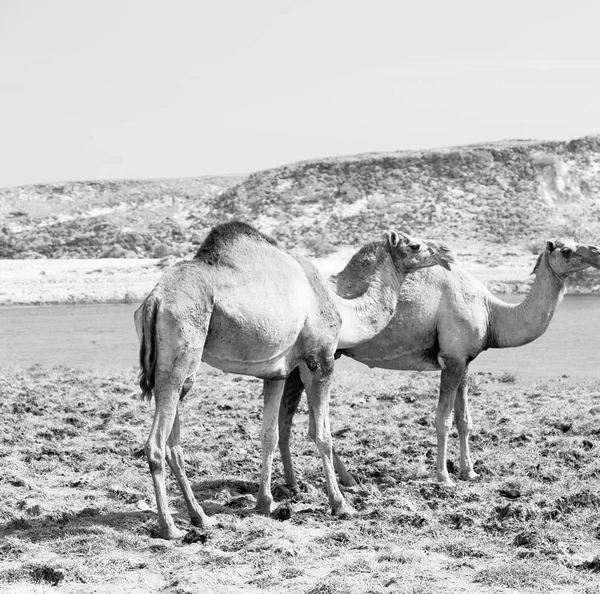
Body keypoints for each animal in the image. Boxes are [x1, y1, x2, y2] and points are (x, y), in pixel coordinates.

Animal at [134, 219, 452, 536]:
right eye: (415, 245)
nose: (447, 252)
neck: (341, 309)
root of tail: (154, 300)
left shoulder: (276, 373)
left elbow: (269, 435)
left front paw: (265, 503)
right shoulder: (319, 360)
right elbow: (322, 435)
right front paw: (341, 504)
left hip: (178, 370)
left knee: (174, 442)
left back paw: (200, 517)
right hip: (181, 346)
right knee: (156, 444)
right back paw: (170, 527)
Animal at [278, 237, 600, 490]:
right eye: (567, 250)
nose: (596, 251)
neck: (492, 313)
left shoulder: (465, 361)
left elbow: (464, 419)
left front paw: (470, 471)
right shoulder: (451, 360)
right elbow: (443, 420)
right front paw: (444, 477)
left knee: (295, 420)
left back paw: (319, 482)